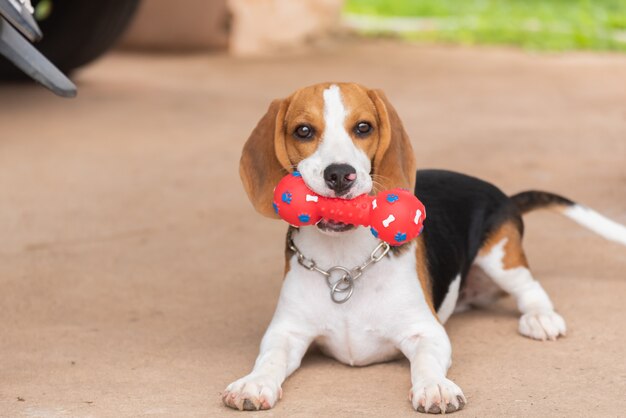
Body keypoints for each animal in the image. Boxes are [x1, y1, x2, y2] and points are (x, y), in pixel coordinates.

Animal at [223, 82, 624, 414]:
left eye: (363, 127)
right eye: (303, 131)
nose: (339, 174)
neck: (344, 265)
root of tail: (503, 195)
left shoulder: (427, 331)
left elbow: (426, 362)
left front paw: (436, 388)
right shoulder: (285, 332)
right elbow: (270, 358)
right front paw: (254, 383)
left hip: (500, 256)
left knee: (531, 288)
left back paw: (541, 318)